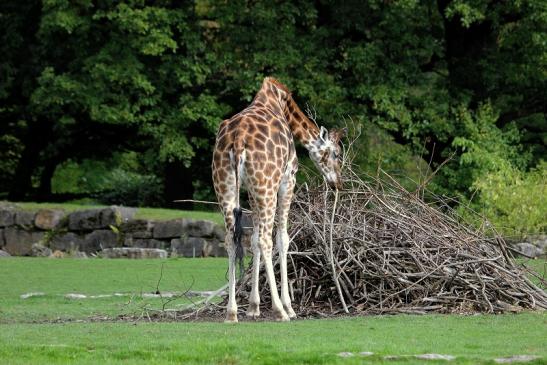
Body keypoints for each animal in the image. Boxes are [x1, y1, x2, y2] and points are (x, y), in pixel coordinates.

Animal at [212, 77, 344, 322]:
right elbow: (283, 239)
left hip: (226, 185)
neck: (278, 100)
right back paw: (280, 311)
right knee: (267, 239)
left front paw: (253, 307)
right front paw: (288, 307)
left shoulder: (251, 190)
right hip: (268, 186)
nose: (337, 182)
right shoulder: (287, 180)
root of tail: (238, 140)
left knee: (232, 239)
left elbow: (253, 239)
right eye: (336, 154)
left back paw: (232, 313)